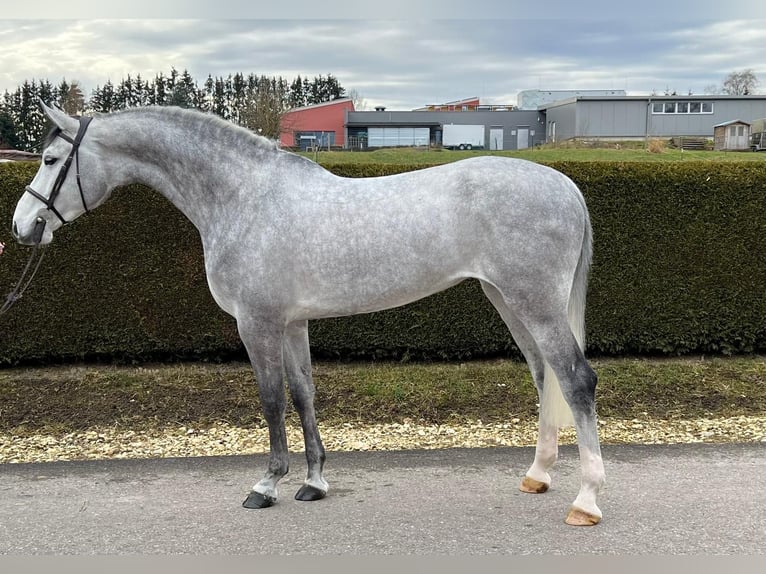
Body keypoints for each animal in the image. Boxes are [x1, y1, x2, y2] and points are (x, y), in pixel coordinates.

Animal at [9, 102, 604, 528]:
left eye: (50, 160)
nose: (22, 226)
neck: (243, 198)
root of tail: (564, 185)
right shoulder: (293, 323)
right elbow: (303, 395)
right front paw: (314, 482)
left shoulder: (257, 322)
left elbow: (271, 399)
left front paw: (266, 485)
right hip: (507, 299)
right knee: (545, 376)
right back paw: (538, 476)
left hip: (534, 302)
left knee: (576, 379)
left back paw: (587, 500)